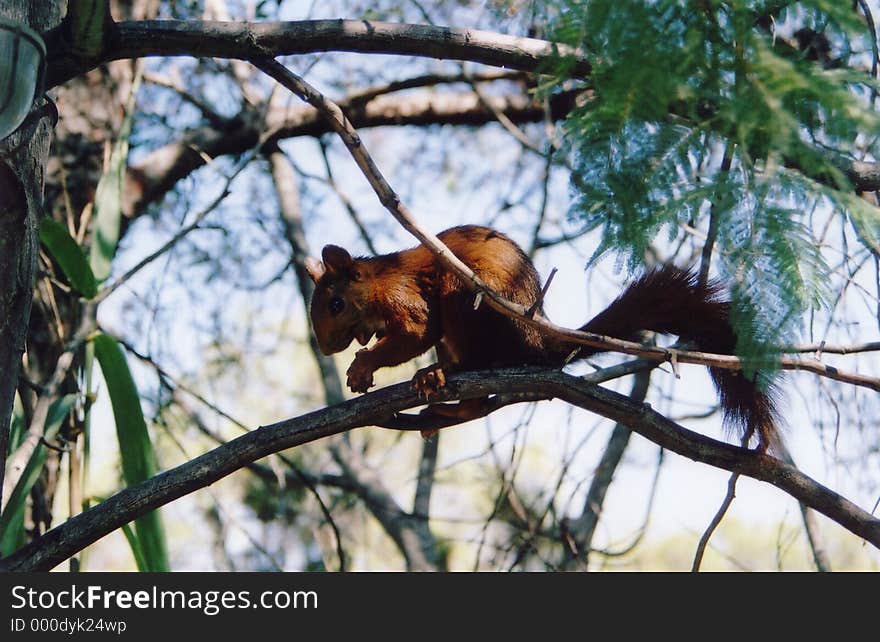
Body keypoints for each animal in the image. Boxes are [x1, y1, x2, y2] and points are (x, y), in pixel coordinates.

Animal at [306, 222, 780, 448]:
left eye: (336, 304)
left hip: (469, 297)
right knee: (481, 403)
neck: (378, 281)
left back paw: (440, 377)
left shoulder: (405, 296)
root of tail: (536, 343)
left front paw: (362, 366)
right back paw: (444, 405)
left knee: (479, 373)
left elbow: (416, 332)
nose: (327, 348)